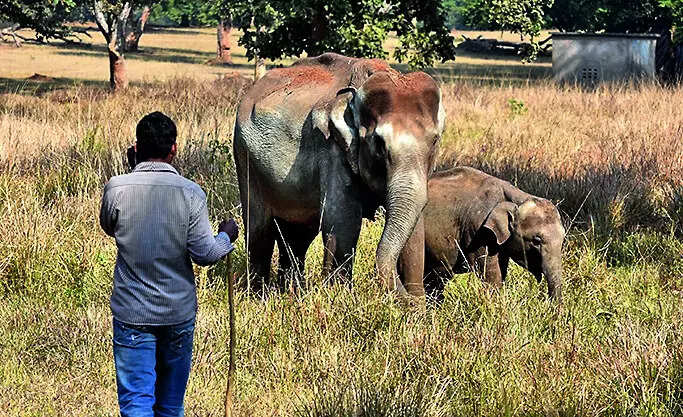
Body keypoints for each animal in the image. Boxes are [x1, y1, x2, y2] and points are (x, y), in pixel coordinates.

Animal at [233, 53, 445, 295]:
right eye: (379, 144)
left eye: (435, 140)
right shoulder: (332, 149)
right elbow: (343, 219)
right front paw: (338, 296)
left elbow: (416, 230)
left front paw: (417, 304)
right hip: (245, 158)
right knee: (259, 230)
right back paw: (258, 294)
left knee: (297, 236)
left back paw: (292, 292)